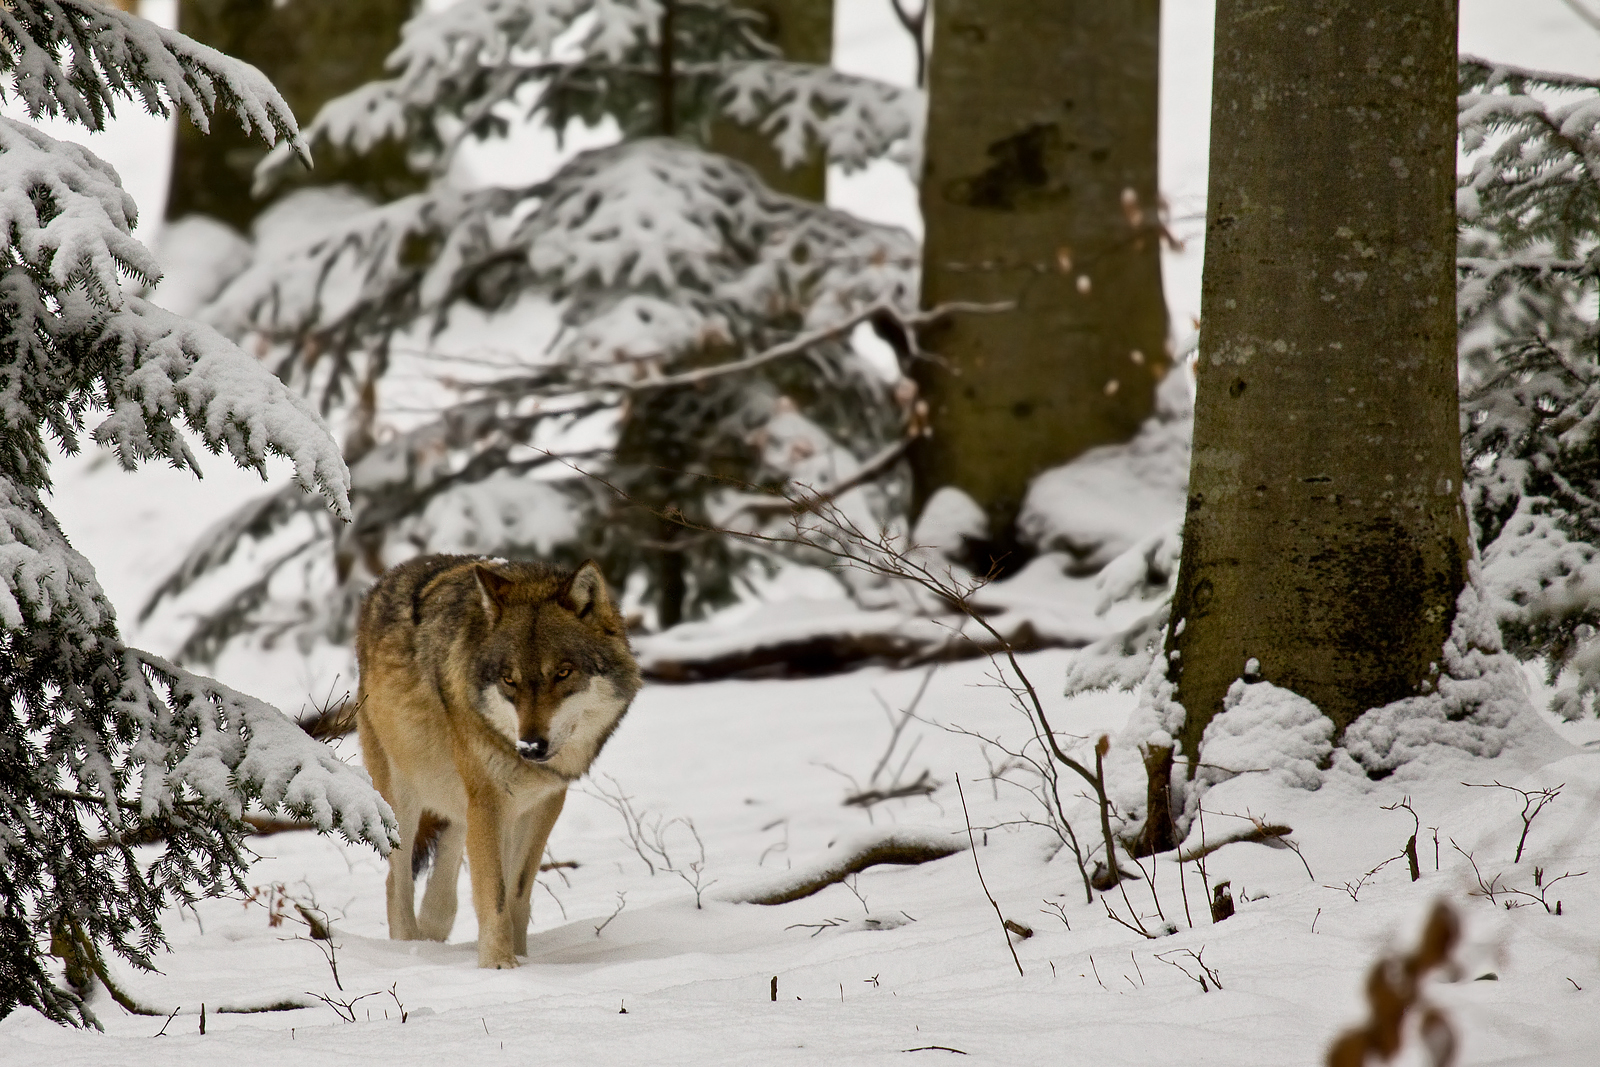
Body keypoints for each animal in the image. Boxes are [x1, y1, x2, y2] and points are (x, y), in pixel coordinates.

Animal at [356, 554, 640, 968]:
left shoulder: (543, 803)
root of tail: (384, 580)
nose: (531, 746)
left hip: (460, 801)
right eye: (509, 680)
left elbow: (517, 892)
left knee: (443, 882)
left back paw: (433, 932)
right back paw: (410, 950)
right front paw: (499, 965)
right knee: (398, 880)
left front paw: (522, 958)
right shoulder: (489, 801)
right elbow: (495, 894)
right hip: (404, 796)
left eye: (563, 673)